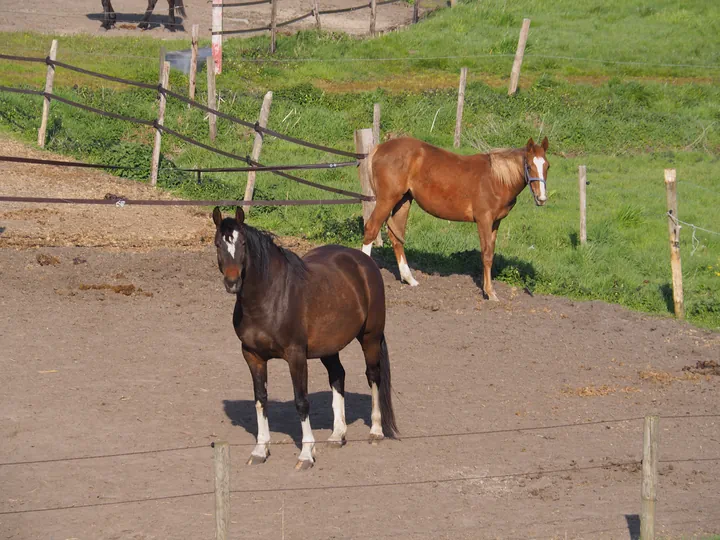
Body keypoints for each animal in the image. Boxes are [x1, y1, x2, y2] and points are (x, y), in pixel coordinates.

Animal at [212, 209, 400, 470]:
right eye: (218, 244)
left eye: (242, 244)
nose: (232, 283)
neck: (269, 298)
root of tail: (364, 262)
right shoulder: (252, 356)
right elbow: (260, 400)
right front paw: (260, 450)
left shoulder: (296, 356)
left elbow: (301, 402)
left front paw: (306, 454)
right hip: (329, 347)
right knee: (338, 375)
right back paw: (337, 434)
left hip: (370, 338)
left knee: (373, 376)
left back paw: (375, 430)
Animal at [362, 137, 548, 302]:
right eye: (529, 166)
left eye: (547, 166)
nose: (542, 198)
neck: (496, 179)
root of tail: (380, 148)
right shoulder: (484, 220)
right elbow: (486, 254)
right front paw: (490, 293)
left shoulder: (495, 222)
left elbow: (491, 253)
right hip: (387, 200)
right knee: (371, 229)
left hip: (404, 201)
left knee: (396, 237)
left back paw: (410, 279)